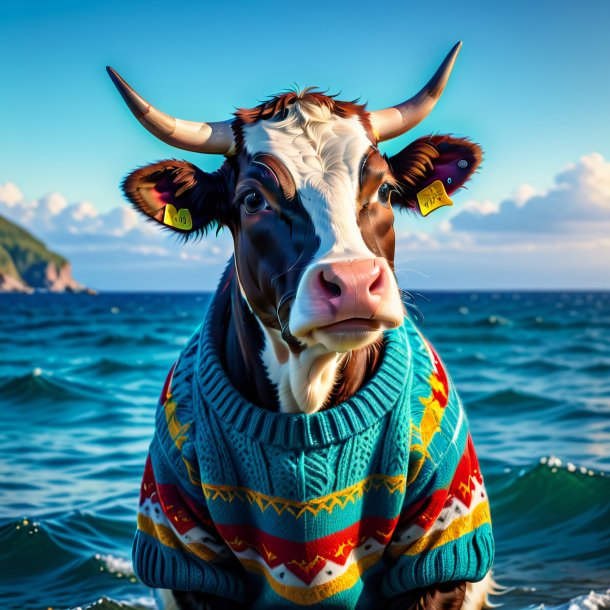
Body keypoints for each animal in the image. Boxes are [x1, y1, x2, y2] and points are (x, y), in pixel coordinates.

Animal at [107, 42, 492, 608]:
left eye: (383, 189)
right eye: (253, 199)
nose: (353, 282)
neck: (305, 402)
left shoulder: (442, 548)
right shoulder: (184, 552)